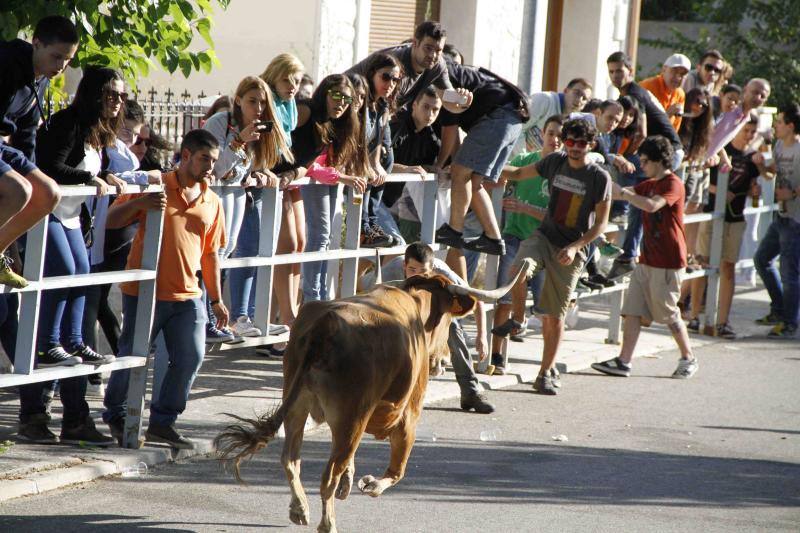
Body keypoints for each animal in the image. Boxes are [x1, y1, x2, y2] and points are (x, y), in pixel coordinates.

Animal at [216, 262, 536, 532]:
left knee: (292, 460)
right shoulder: (409, 415)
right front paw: (370, 484)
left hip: (298, 406)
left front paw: (352, 482)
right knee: (328, 475)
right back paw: (328, 524)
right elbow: (397, 470)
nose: (442, 357)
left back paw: (300, 510)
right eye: (448, 320)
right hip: (352, 417)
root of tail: (325, 325)